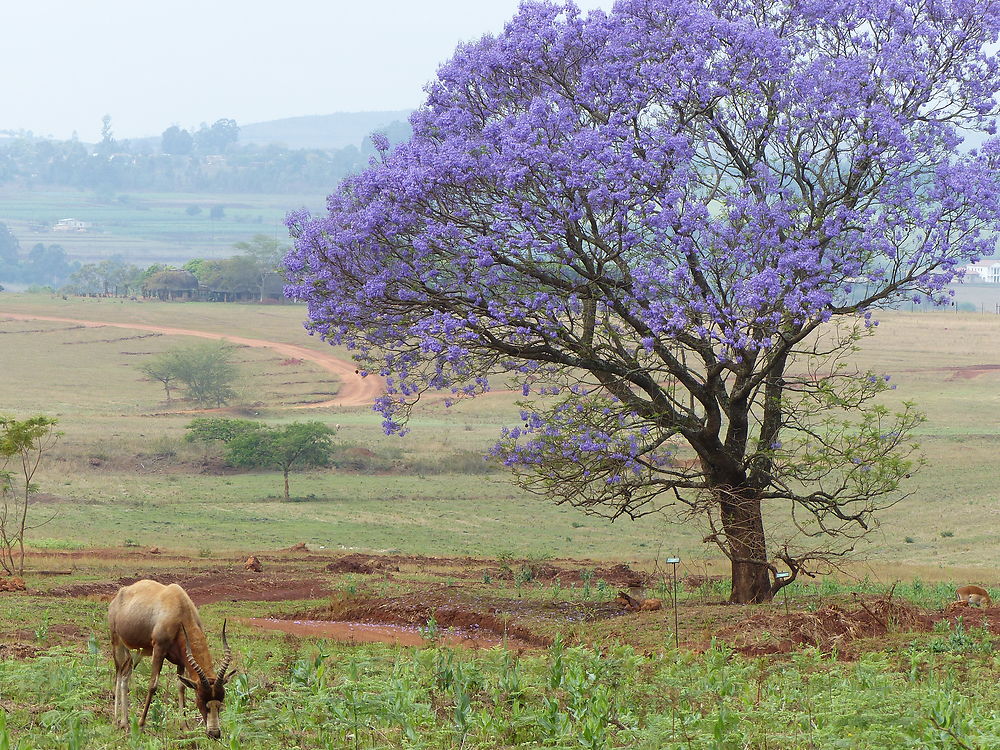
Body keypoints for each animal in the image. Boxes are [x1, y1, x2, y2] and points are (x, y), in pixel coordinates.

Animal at [107, 580, 236, 740]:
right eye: (201, 699)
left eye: (221, 701)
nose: (214, 733)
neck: (179, 607)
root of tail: (120, 594)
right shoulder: (159, 650)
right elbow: (153, 685)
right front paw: (141, 726)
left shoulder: (182, 659)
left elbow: (181, 687)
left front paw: (184, 727)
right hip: (117, 642)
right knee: (119, 673)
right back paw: (117, 721)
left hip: (137, 651)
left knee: (125, 675)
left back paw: (124, 723)